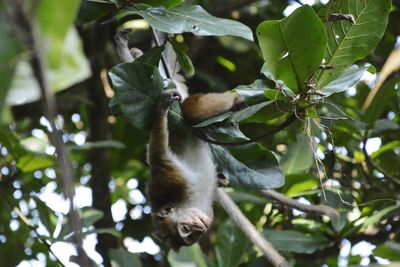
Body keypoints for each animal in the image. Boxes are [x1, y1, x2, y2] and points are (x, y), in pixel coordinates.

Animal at [146, 90, 242, 251]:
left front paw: (161, 108)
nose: (200, 229)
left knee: (194, 112)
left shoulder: (173, 178)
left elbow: (158, 153)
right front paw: (221, 181)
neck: (190, 202)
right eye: (190, 237)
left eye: (185, 229)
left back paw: (236, 98)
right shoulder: (208, 213)